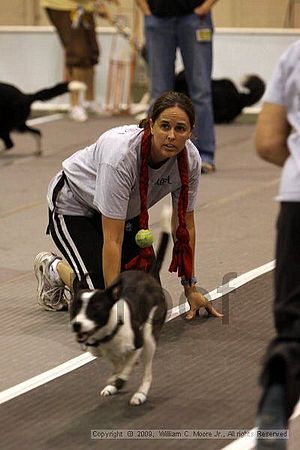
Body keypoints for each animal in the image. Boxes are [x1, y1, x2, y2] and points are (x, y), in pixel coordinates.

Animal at [70, 210, 170, 404]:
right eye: (74, 309)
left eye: (95, 309)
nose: (77, 325)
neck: (108, 333)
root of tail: (150, 277)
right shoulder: (103, 352)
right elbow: (116, 363)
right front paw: (115, 380)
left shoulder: (138, 344)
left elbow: (128, 365)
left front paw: (122, 377)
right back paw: (114, 386)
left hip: (149, 336)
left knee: (147, 373)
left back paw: (140, 393)